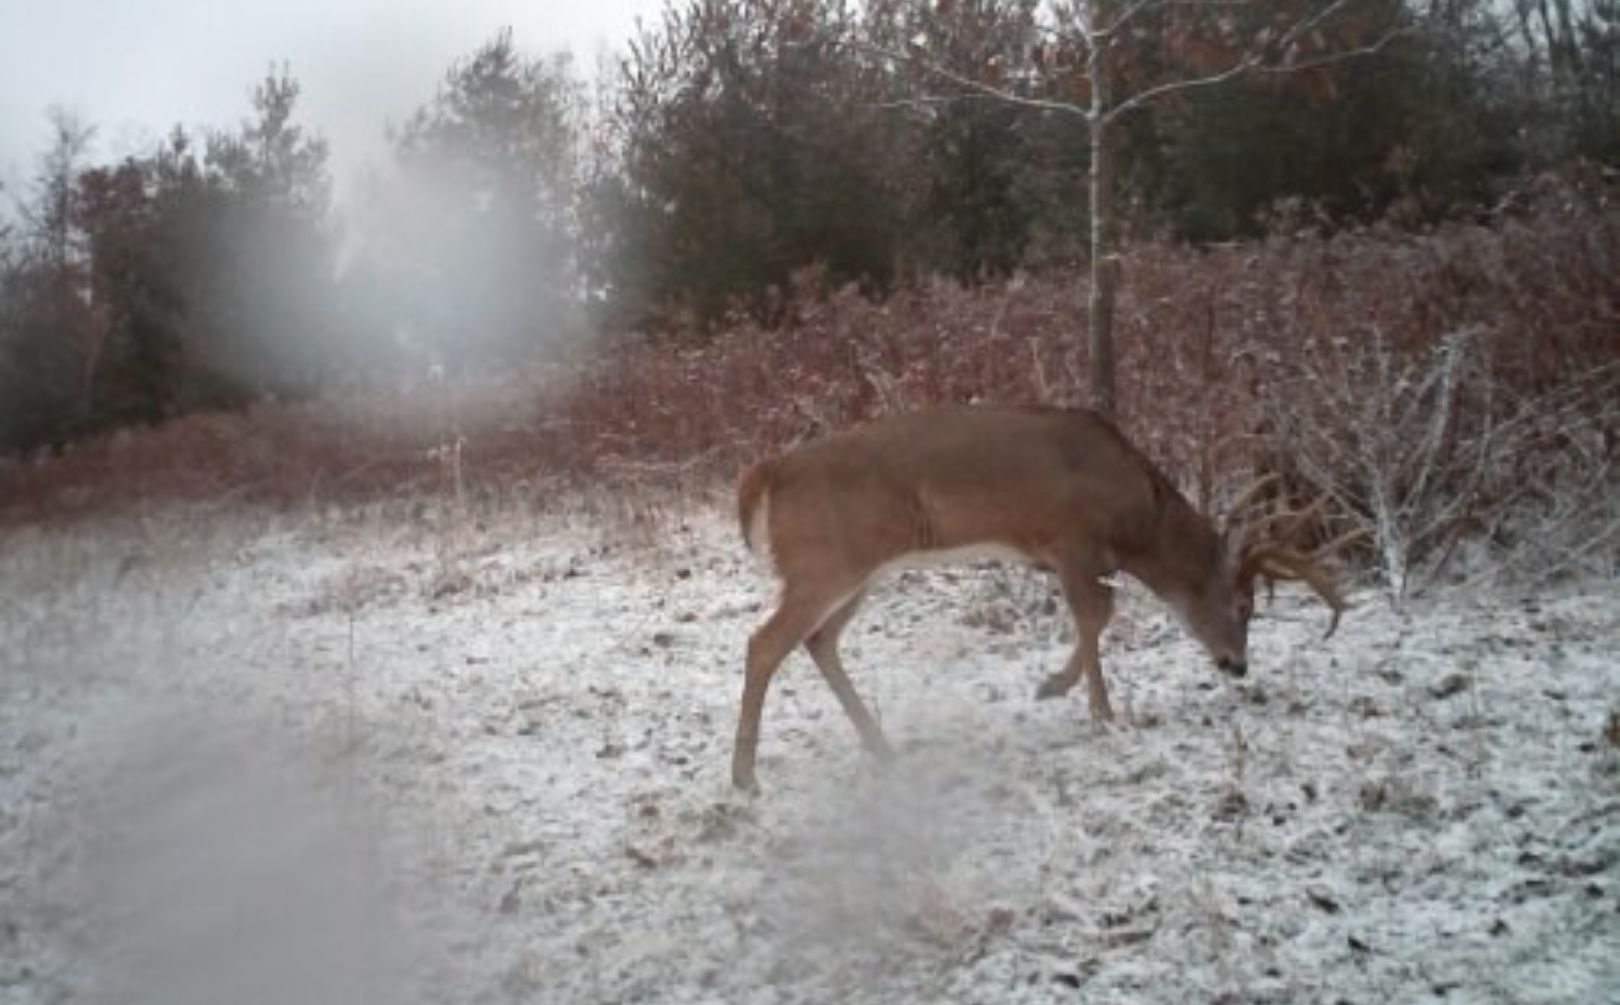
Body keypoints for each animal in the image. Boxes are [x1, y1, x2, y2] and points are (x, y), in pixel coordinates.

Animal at [732, 403, 1341, 787]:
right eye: (1244, 607)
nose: (1237, 665)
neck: (1136, 520)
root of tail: (768, 472)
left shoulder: (1068, 555)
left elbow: (1099, 615)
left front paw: (1056, 688)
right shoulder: (1071, 539)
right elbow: (1097, 614)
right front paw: (1098, 711)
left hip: (858, 573)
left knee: (818, 640)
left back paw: (883, 749)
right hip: (824, 564)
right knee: (764, 642)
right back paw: (744, 778)